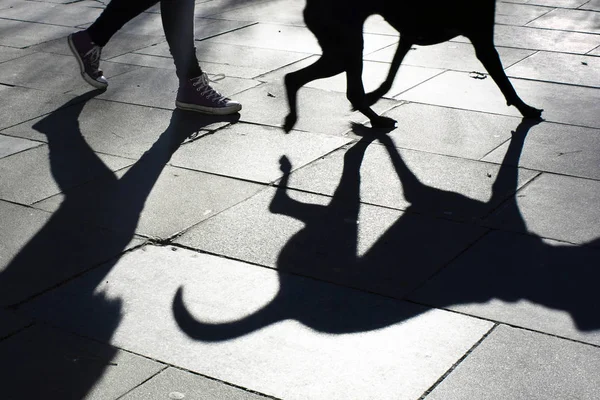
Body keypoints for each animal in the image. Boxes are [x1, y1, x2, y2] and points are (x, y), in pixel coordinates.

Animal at [284, 0, 540, 131]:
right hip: (345, 48)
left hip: (345, 47)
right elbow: (505, 82)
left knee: (304, 80)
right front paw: (525, 108)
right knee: (303, 79)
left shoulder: (408, 36)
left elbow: (390, 76)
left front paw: (376, 94)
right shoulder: (482, 41)